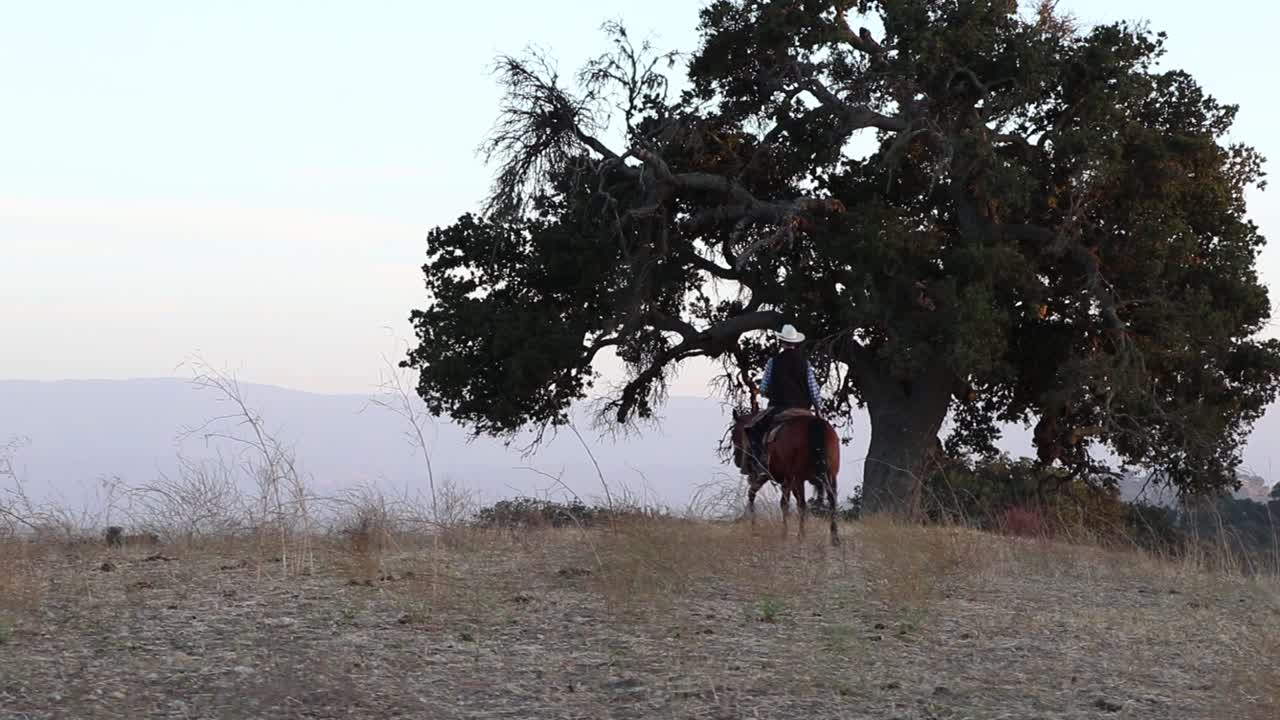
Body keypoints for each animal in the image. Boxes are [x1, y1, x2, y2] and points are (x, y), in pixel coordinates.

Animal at [729, 407, 841, 545]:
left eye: (733, 434)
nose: (738, 461)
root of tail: (816, 425)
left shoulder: (772, 476)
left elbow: (779, 502)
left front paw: (782, 534)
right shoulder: (788, 481)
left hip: (798, 478)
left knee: (801, 505)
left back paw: (801, 536)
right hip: (830, 475)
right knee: (831, 500)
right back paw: (834, 538)